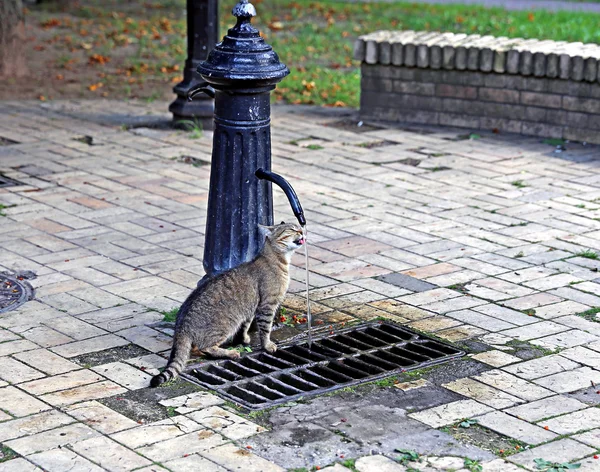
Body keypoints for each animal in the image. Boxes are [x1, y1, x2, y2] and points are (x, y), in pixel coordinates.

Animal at [150, 221, 304, 388]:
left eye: (299, 228)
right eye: (292, 229)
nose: (302, 230)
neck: (277, 259)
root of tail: (180, 326)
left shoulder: (251, 309)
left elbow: (245, 326)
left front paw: (244, 339)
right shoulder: (267, 305)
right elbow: (265, 329)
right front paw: (267, 345)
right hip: (225, 326)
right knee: (206, 347)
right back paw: (230, 353)